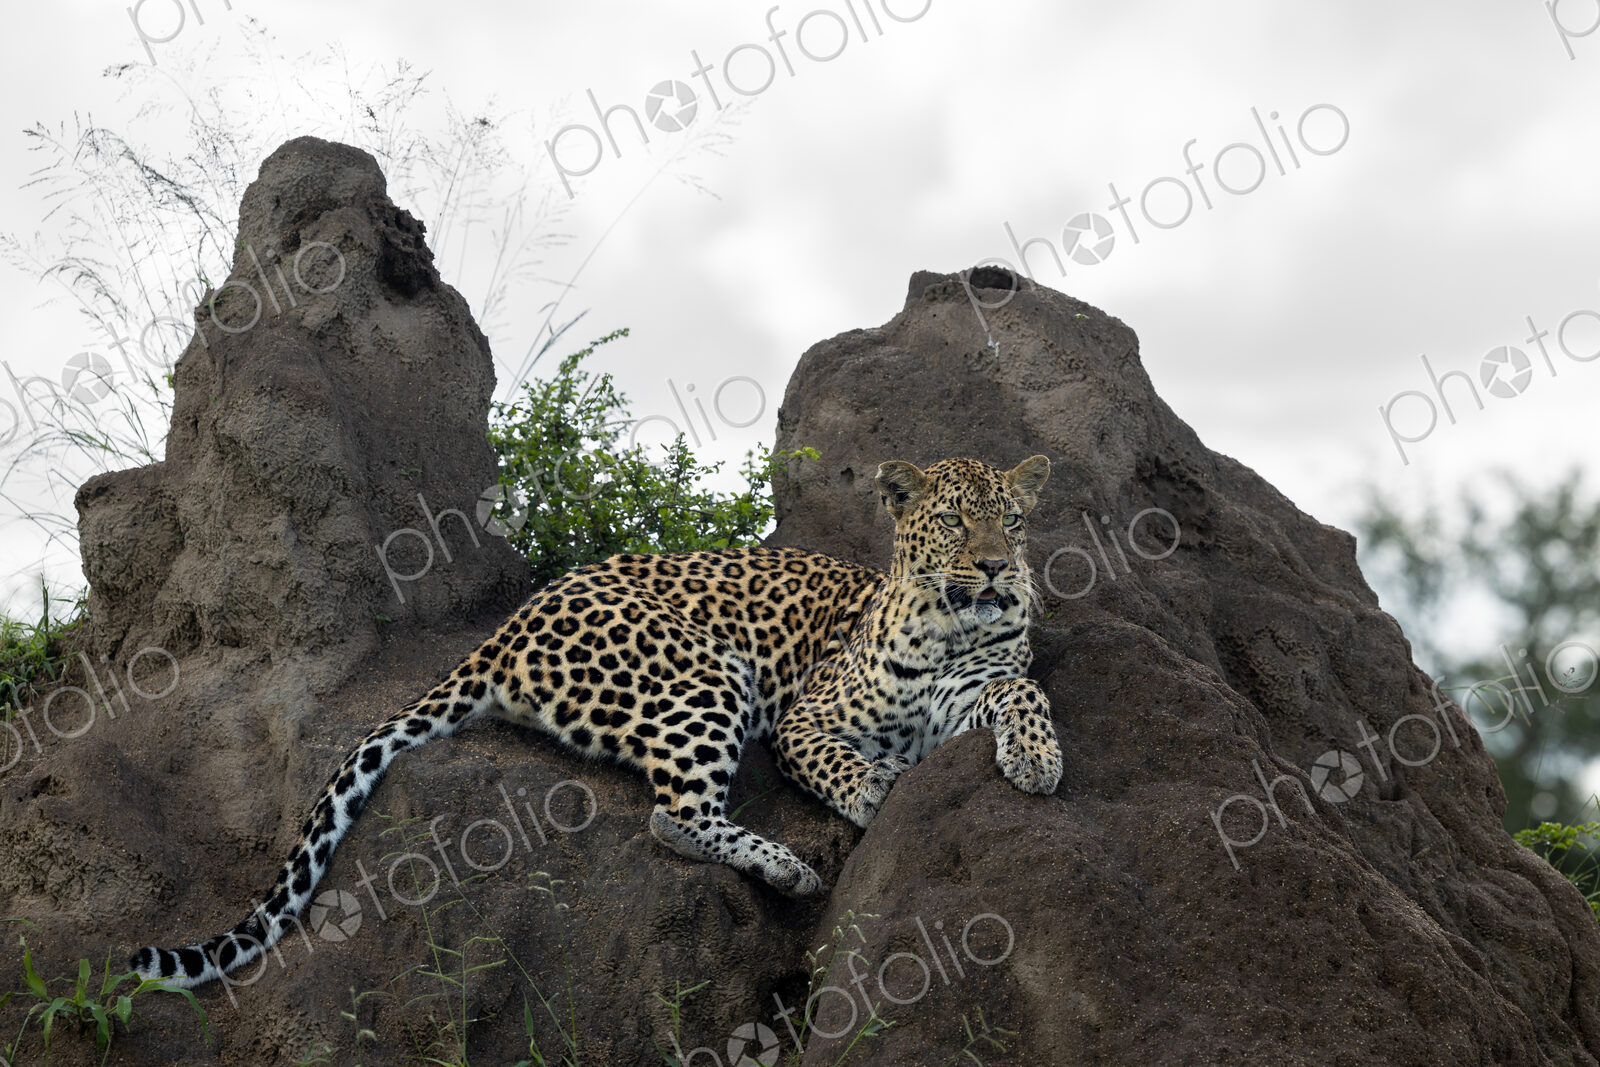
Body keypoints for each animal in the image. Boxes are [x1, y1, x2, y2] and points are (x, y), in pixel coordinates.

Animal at [130, 454, 1062, 989]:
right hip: (704, 672)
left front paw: (1037, 759)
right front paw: (875, 790)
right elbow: (841, 761)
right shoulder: (809, 716)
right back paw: (786, 866)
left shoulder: (978, 686)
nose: (994, 566)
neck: (950, 622)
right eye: (954, 518)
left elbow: (1024, 695)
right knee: (673, 816)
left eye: (1012, 519)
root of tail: (510, 622)